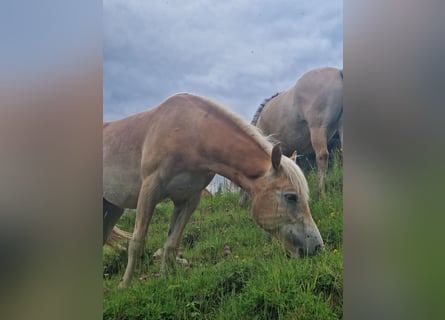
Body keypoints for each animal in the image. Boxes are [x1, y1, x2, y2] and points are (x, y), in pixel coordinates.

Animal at [102, 92, 320, 288]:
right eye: (291, 197)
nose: (317, 247)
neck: (189, 131)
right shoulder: (150, 190)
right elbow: (137, 241)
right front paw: (124, 286)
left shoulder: (188, 199)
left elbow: (171, 243)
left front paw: (164, 279)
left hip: (113, 207)